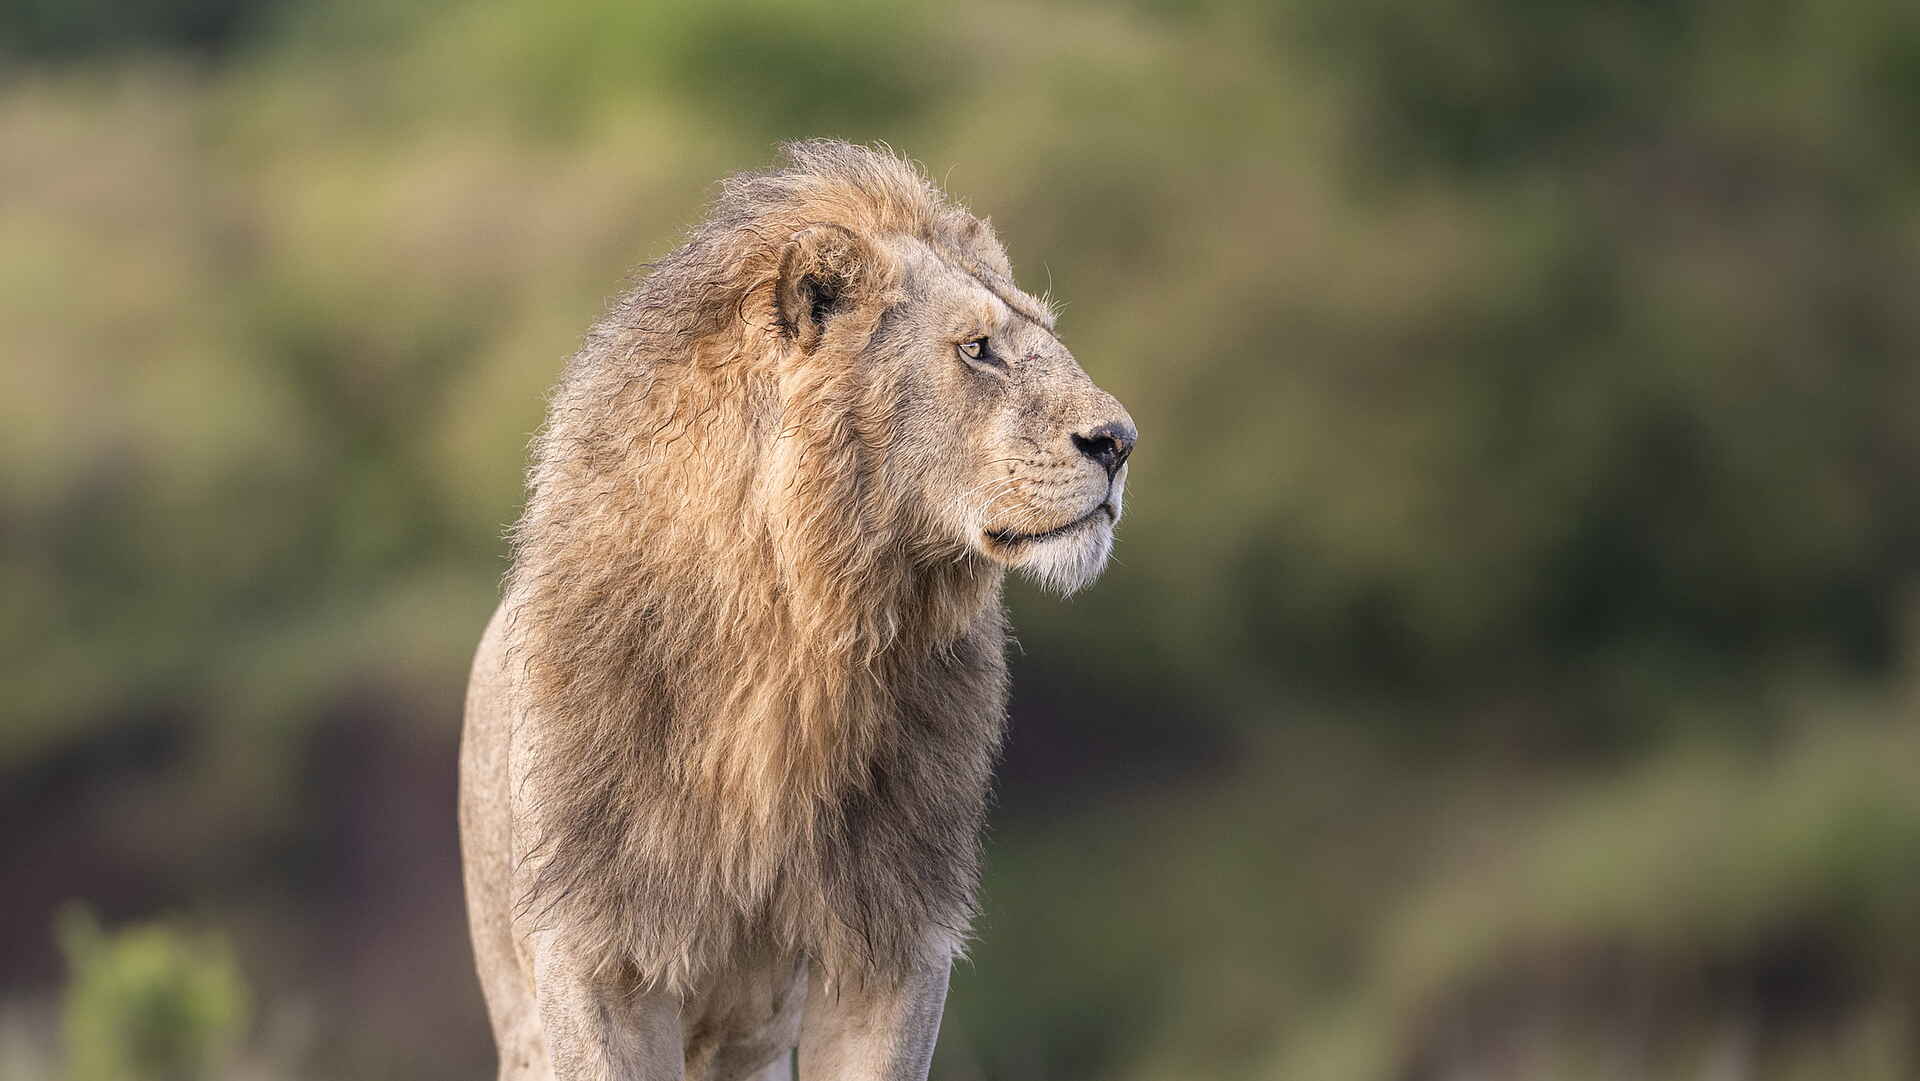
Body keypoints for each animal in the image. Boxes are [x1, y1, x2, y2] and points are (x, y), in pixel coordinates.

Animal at [460, 140, 1137, 1081]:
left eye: (1044, 337)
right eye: (977, 349)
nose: (1120, 441)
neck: (802, 624)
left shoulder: (891, 934)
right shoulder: (596, 944)